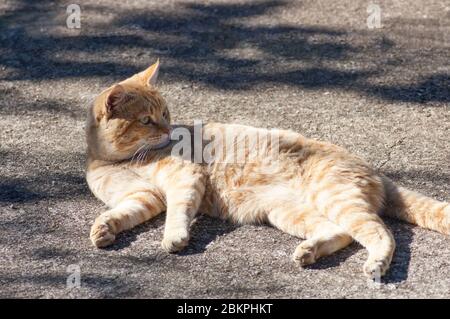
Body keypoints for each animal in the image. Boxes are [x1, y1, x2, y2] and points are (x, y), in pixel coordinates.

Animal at [86, 61, 448, 278]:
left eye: (166, 113)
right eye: (147, 120)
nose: (169, 130)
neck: (122, 159)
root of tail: (374, 170)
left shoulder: (184, 179)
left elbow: (178, 211)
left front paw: (174, 236)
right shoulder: (144, 196)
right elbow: (122, 212)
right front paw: (103, 228)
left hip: (336, 199)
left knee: (380, 233)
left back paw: (375, 265)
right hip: (287, 211)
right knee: (342, 232)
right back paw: (309, 252)